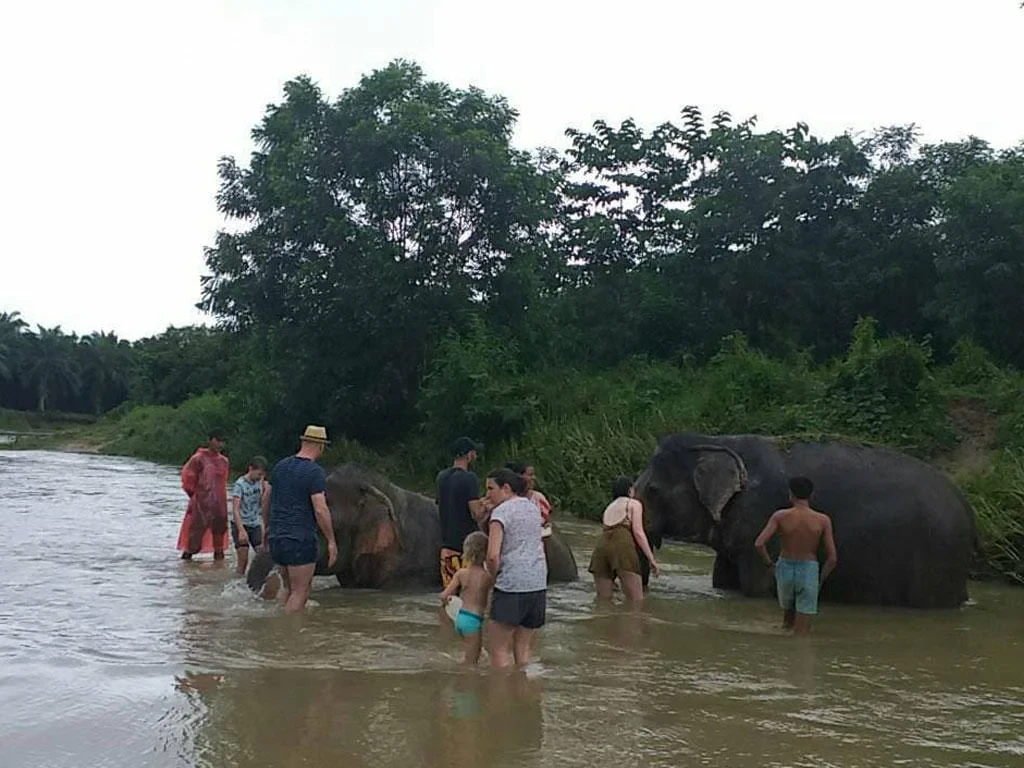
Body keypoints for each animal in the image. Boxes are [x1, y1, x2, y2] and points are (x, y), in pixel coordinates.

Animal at [634, 433, 976, 608]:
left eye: (653, 490)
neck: (719, 440)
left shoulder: (763, 519)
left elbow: (758, 586)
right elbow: (723, 580)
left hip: (936, 561)